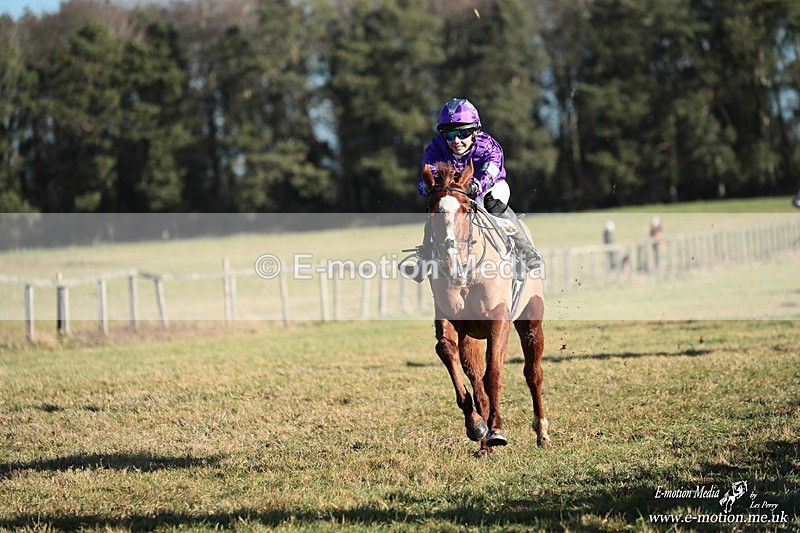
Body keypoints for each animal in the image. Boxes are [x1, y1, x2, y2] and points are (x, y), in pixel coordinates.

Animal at [421, 160, 551, 455]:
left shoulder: (498, 318)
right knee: (475, 376)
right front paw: (476, 426)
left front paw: (497, 431)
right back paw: (484, 444)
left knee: (533, 373)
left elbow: (493, 374)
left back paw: (541, 433)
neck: (468, 272)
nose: (451, 261)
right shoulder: (451, 321)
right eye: (431, 210)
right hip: (472, 336)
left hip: (530, 319)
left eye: (466, 209)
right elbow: (449, 354)